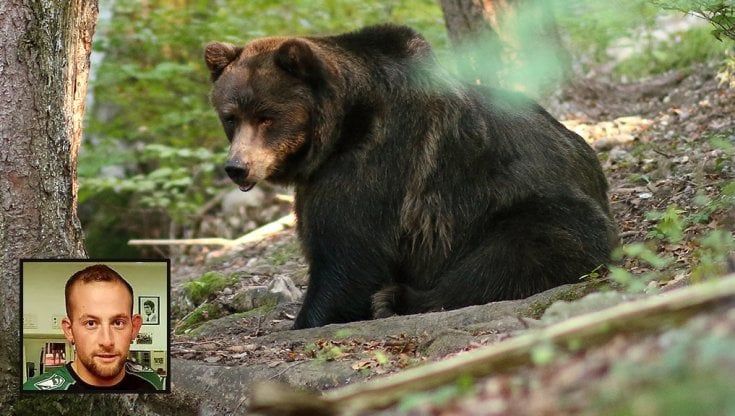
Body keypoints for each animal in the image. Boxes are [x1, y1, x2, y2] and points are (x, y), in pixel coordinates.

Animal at [204, 24, 618, 329]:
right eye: (230, 116)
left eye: (266, 116)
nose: (237, 167)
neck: (341, 130)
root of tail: (595, 172)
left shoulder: (374, 163)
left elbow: (347, 256)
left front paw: (310, 318)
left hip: (532, 205)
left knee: (519, 251)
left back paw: (395, 298)